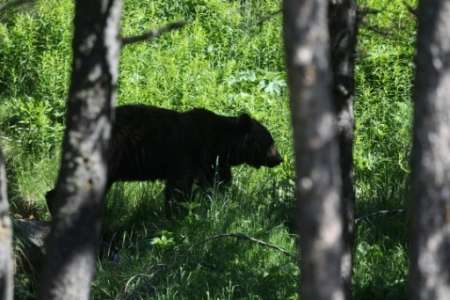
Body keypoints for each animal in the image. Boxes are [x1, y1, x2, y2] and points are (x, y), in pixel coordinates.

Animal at [47, 104, 284, 217]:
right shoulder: (187, 154)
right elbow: (179, 187)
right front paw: (176, 214)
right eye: (270, 140)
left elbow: (217, 183)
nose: (279, 158)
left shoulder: (209, 162)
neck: (219, 144)